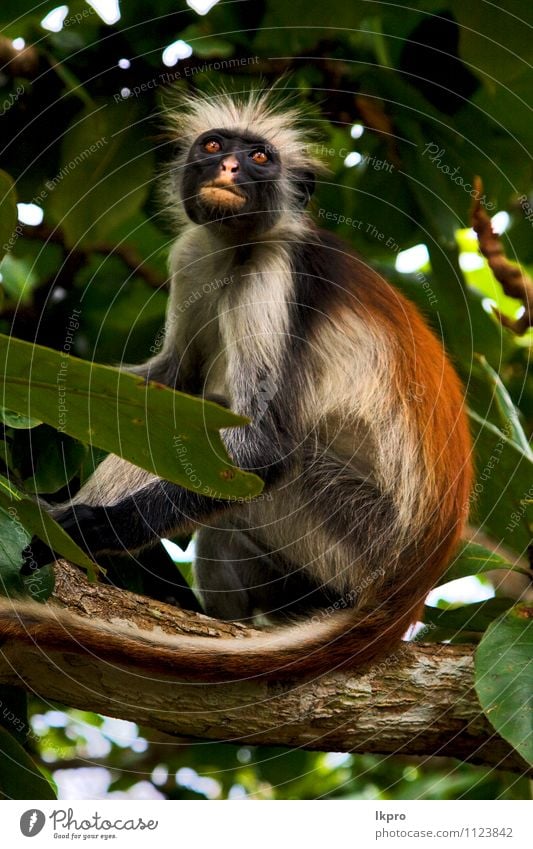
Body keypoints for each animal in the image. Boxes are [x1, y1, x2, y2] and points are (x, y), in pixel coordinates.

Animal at [2, 89, 472, 680]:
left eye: (260, 158)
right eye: (213, 146)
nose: (228, 167)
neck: (237, 245)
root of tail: (404, 594)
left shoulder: (270, 272)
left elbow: (264, 448)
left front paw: (93, 529)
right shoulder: (194, 255)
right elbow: (168, 379)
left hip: (351, 532)